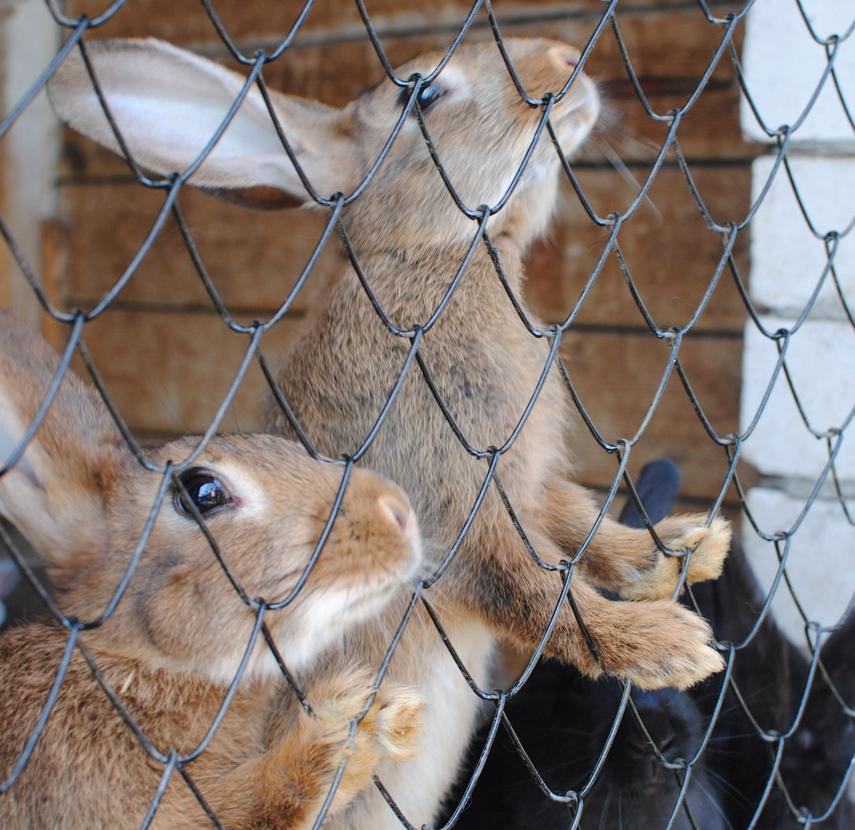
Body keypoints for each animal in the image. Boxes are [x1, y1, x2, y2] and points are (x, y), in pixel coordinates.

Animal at [0, 314, 426, 830]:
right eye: (202, 492)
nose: (400, 514)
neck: (143, 662)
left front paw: (389, 714)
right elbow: (247, 806)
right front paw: (356, 720)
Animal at [46, 35, 732, 828]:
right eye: (421, 94)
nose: (564, 59)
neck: (437, 256)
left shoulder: (521, 480)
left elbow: (581, 528)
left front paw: (684, 548)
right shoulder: (449, 502)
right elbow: (533, 590)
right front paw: (669, 645)